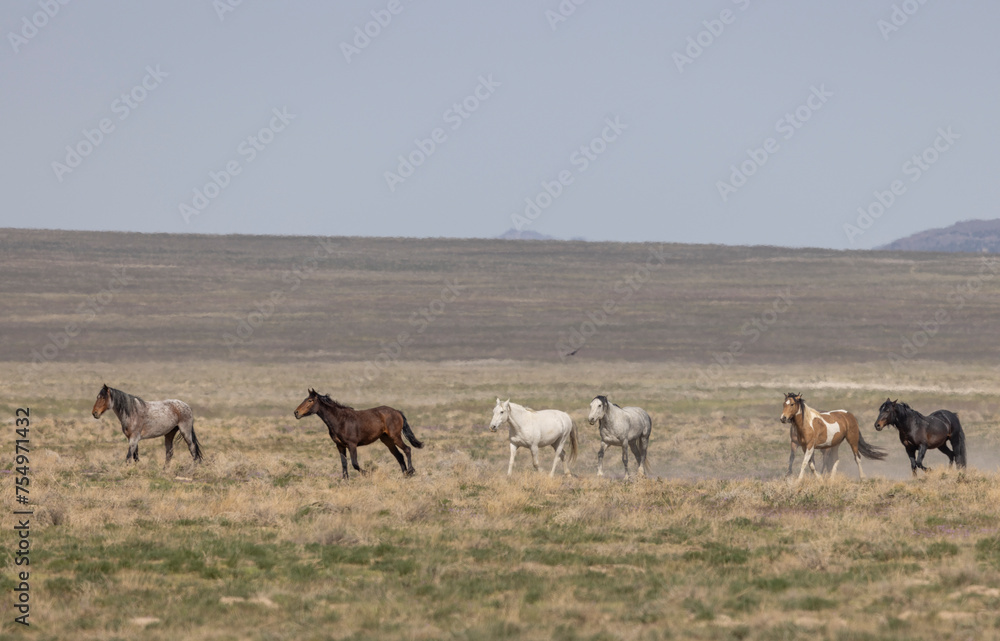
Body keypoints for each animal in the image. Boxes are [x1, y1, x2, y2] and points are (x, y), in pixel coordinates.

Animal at [293, 389, 423, 479]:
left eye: (310, 400)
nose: (296, 412)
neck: (340, 420)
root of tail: (397, 411)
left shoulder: (352, 445)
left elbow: (354, 463)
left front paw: (367, 473)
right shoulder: (340, 446)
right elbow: (344, 463)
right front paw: (345, 481)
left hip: (395, 437)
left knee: (407, 449)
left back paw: (410, 472)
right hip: (387, 440)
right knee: (399, 455)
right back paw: (405, 474)